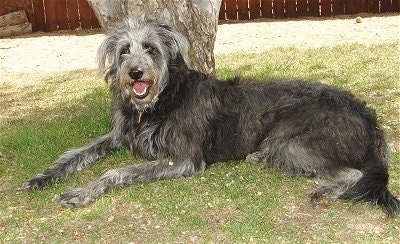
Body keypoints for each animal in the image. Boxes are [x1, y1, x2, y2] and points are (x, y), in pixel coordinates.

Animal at [23, 18, 398, 216]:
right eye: (124, 50)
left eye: (151, 49)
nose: (135, 74)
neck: (161, 101)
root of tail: (370, 118)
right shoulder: (117, 135)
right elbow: (75, 154)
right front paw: (44, 176)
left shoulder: (184, 159)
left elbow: (117, 171)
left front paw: (81, 192)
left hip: (292, 142)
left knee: (353, 173)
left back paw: (326, 191)